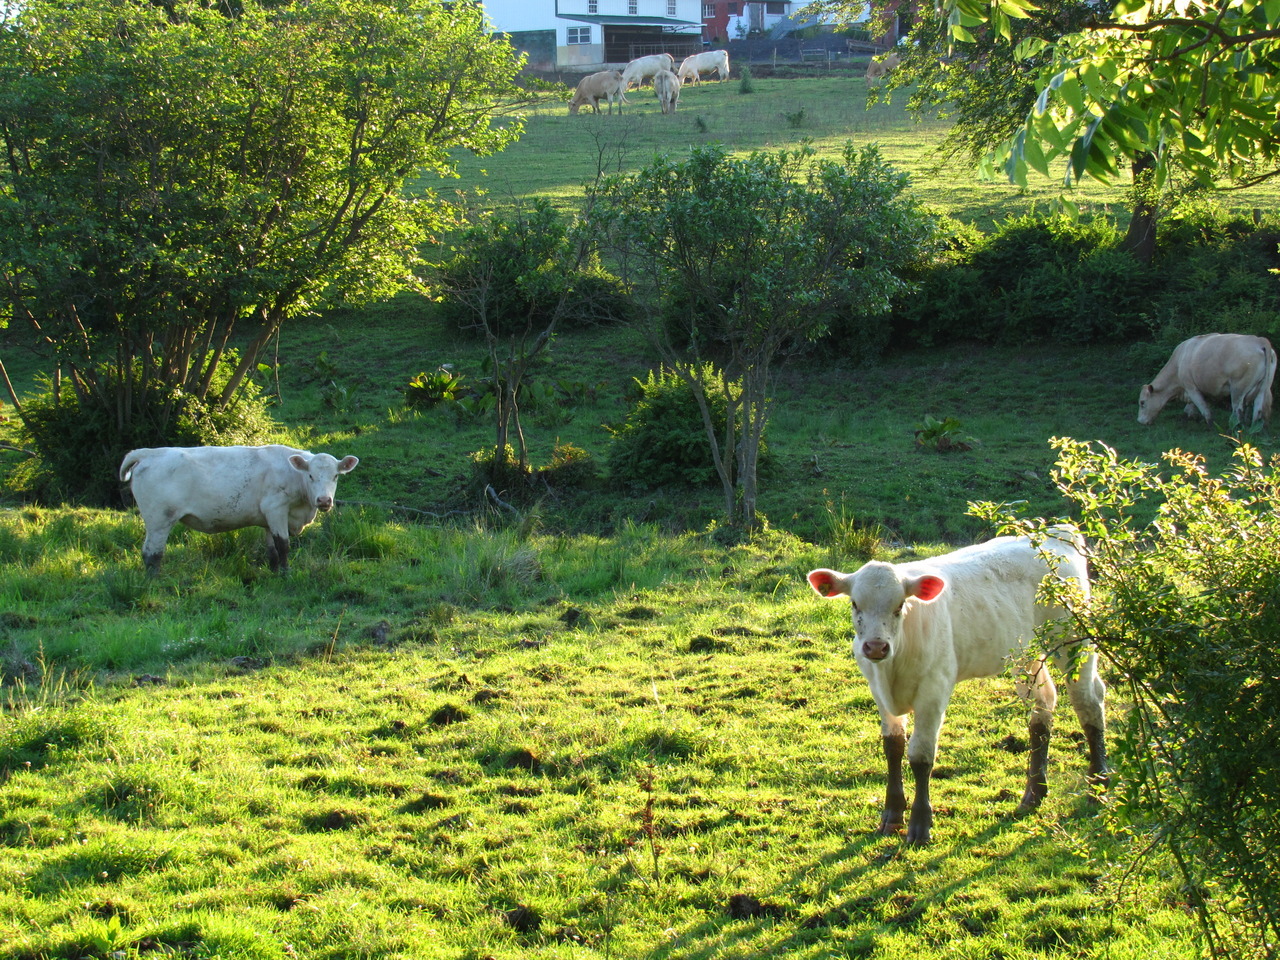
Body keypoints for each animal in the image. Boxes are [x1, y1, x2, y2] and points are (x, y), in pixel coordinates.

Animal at [119, 445, 359, 574]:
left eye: (335, 476)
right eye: (310, 475)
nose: (324, 500)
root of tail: (149, 453)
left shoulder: (268, 517)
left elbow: (272, 549)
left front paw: (274, 572)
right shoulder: (276, 509)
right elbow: (283, 545)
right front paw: (286, 574)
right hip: (159, 519)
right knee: (152, 553)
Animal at [808, 529, 1108, 844]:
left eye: (900, 606)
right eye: (855, 604)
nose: (876, 646)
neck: (892, 669)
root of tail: (1057, 533)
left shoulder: (934, 689)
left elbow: (921, 756)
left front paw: (919, 826)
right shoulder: (878, 691)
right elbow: (893, 747)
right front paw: (892, 815)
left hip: (1074, 641)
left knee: (1088, 700)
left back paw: (1098, 787)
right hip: (1025, 655)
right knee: (1043, 704)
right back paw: (1033, 795)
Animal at [1137, 333, 1277, 428]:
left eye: (1142, 402)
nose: (1139, 421)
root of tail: (1259, 340)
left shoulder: (1191, 387)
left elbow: (1203, 407)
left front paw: (1211, 425)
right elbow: (1192, 406)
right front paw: (1188, 417)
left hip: (1238, 388)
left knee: (1237, 410)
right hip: (1263, 389)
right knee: (1258, 410)